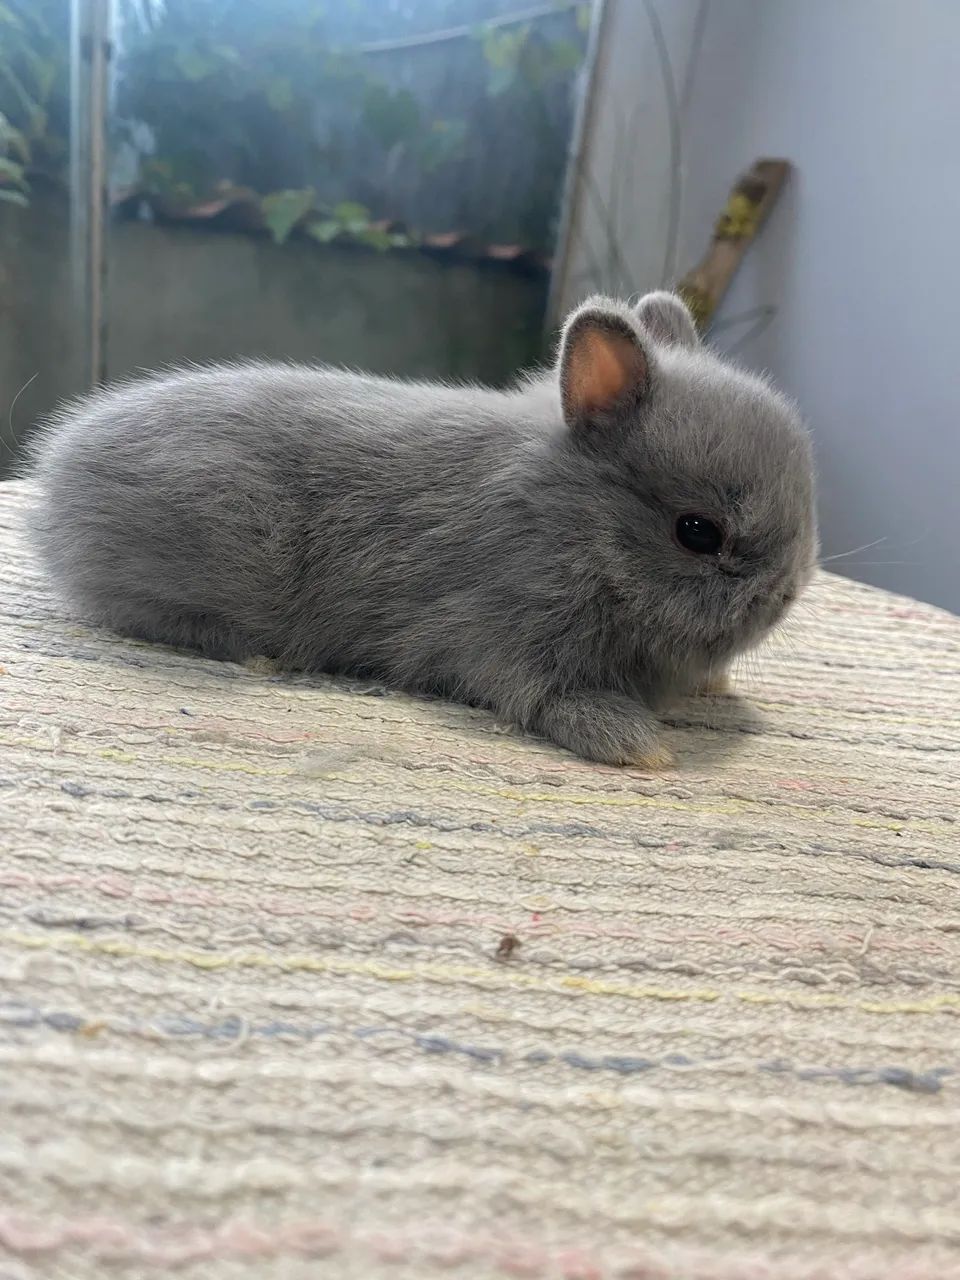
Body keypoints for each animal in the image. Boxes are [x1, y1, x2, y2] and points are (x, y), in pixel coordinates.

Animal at [27, 291, 817, 767]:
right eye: (697, 532)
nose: (785, 596)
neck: (577, 524)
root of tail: (57, 469)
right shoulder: (509, 637)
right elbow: (549, 698)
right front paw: (641, 747)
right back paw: (255, 658)